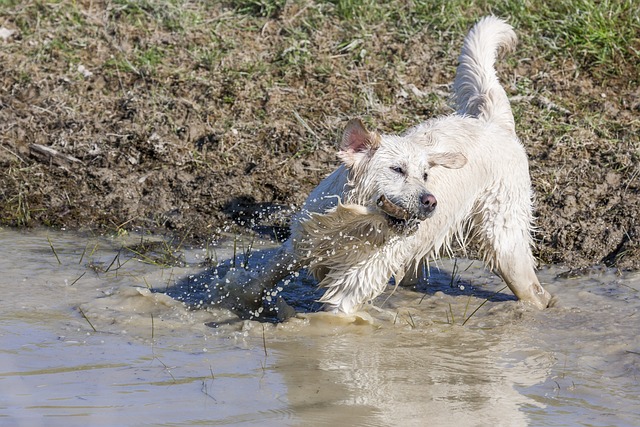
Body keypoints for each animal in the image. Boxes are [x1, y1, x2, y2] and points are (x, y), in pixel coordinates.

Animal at [215, 15, 552, 318]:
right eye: (397, 169)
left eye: (425, 174)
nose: (430, 201)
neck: (355, 225)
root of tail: (492, 123)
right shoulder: (302, 242)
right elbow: (263, 280)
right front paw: (244, 301)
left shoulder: (353, 285)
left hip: (504, 237)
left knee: (533, 288)